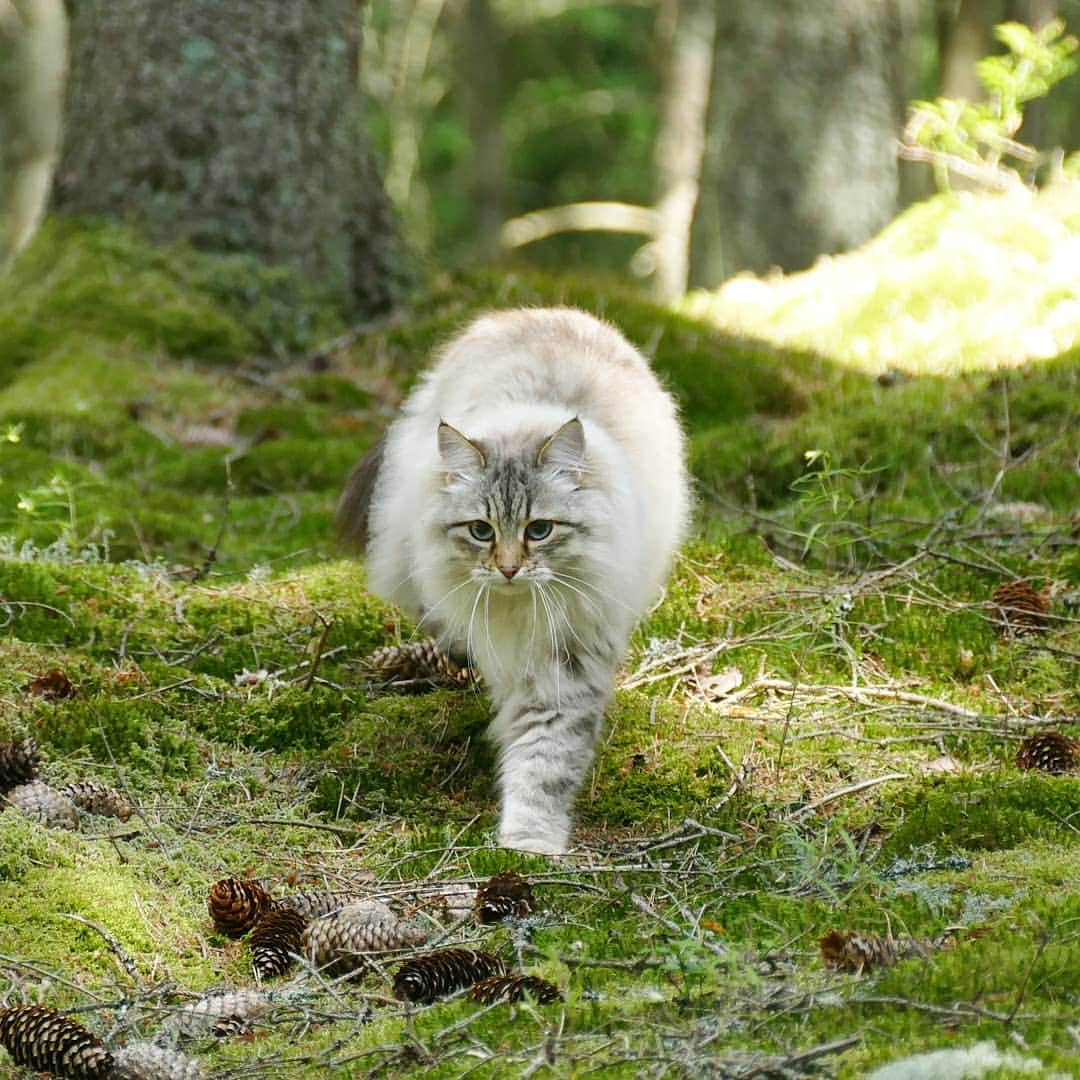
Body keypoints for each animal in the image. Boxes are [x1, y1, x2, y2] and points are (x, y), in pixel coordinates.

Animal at [339, 308, 691, 855]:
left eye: (539, 530)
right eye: (481, 531)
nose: (507, 569)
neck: (518, 612)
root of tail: (548, 310)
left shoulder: (567, 659)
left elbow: (544, 761)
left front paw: (529, 845)